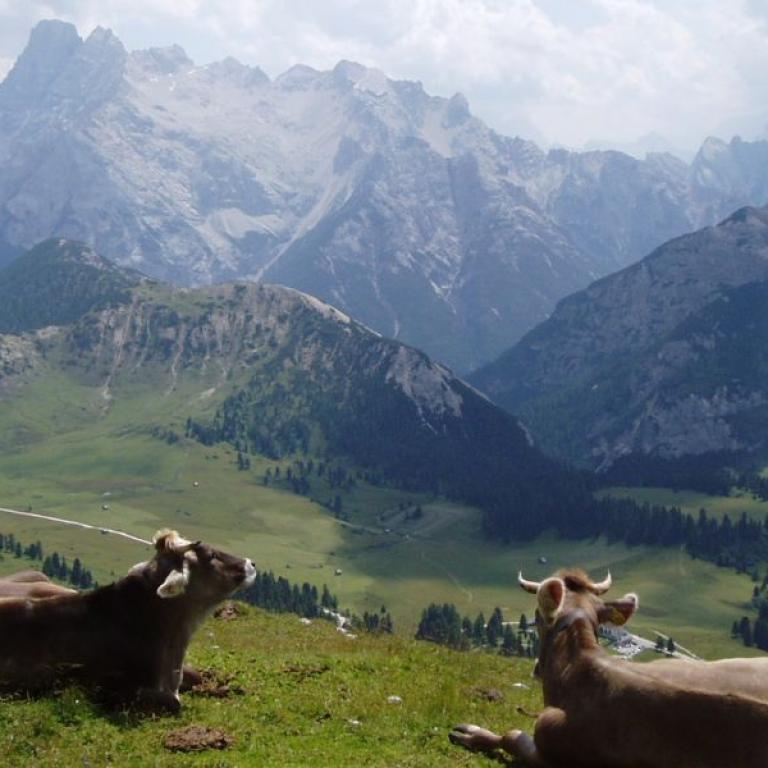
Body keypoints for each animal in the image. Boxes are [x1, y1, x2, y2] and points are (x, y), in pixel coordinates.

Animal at [450, 569, 768, 768]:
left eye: (538, 615)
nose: (536, 669)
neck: (576, 671)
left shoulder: (552, 746)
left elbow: (512, 737)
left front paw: (470, 733)